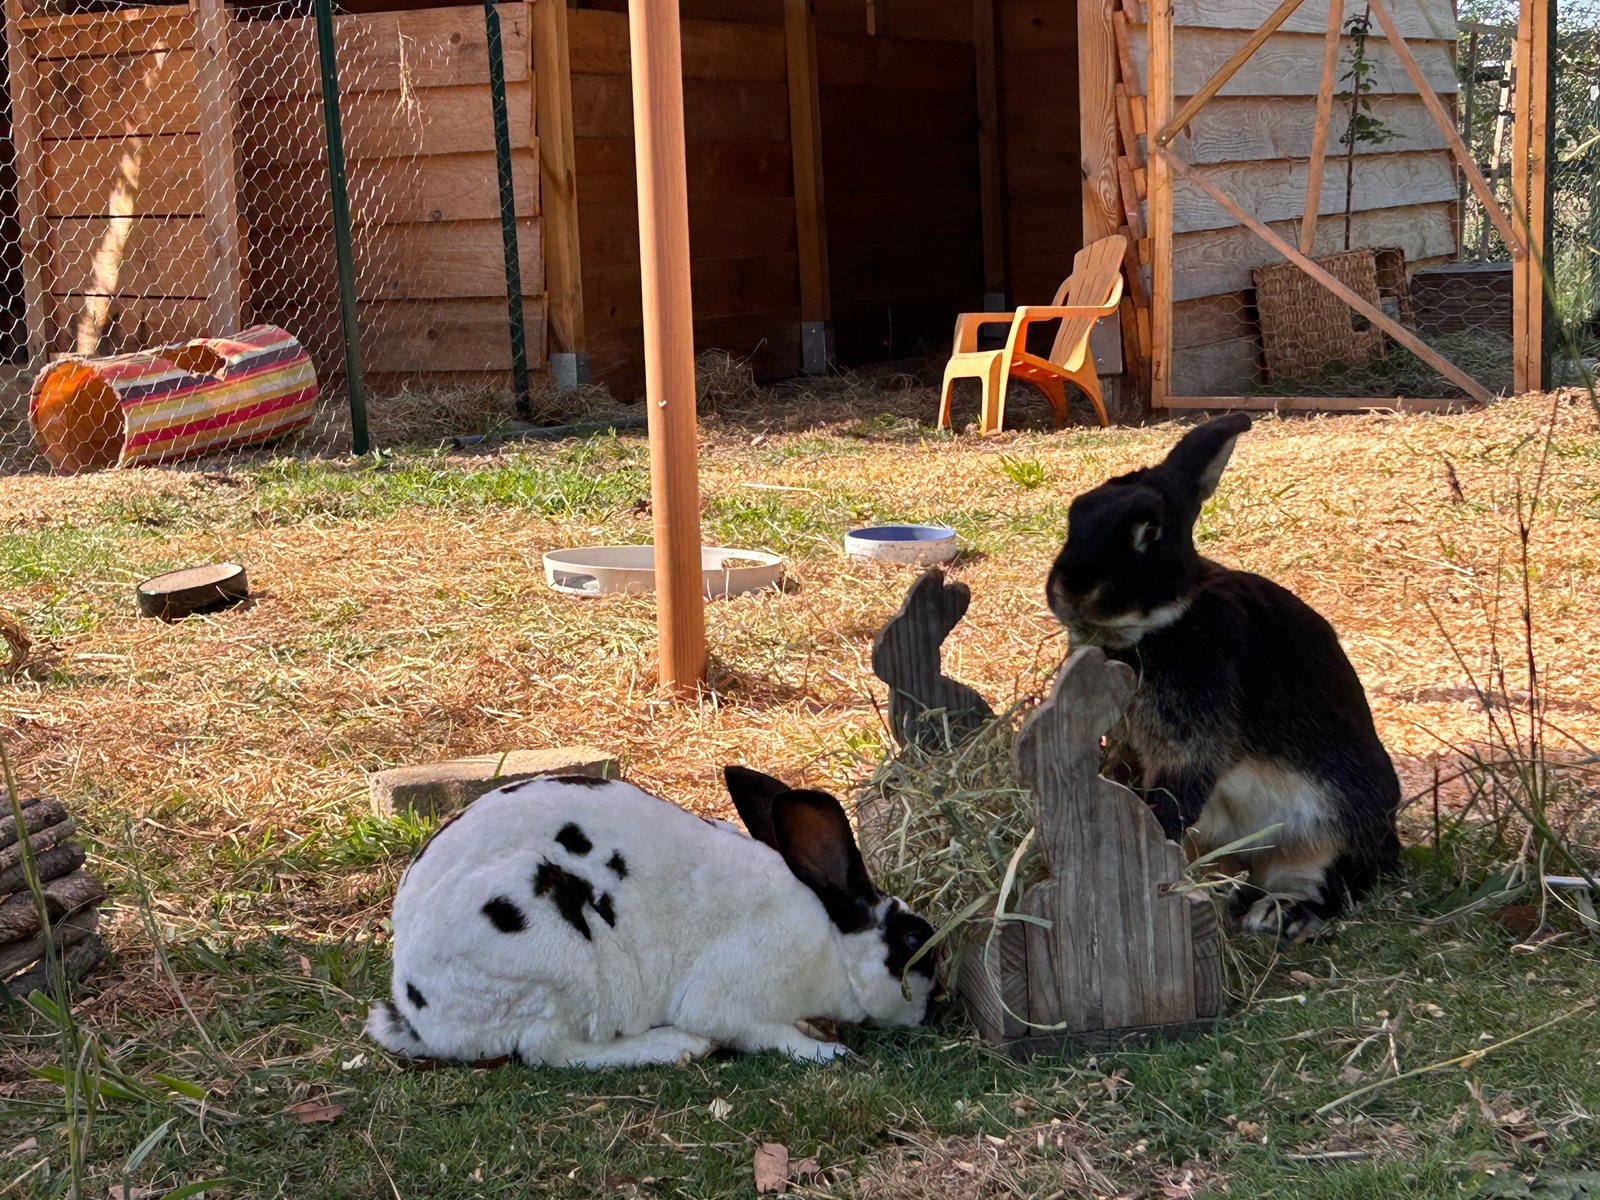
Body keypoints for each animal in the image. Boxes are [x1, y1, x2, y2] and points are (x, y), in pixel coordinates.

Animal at [365, 767, 937, 1068]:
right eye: (914, 940)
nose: (932, 1008)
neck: (831, 943)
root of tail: (419, 1013)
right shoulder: (727, 1003)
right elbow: (765, 1034)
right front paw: (826, 1050)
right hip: (557, 964)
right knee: (554, 1050)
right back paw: (678, 1046)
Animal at [1044, 413, 1401, 941]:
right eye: (1076, 513)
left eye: (1150, 532)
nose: (1072, 590)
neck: (1167, 620)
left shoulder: (1193, 733)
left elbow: (1178, 790)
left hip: (1331, 819)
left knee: (1328, 877)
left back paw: (1281, 913)